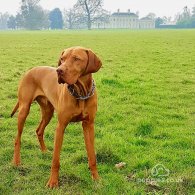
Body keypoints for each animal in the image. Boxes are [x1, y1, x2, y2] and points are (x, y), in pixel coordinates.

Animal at [11, 46, 102, 188]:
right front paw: (53, 182)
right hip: (24, 109)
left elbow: (92, 156)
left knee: (39, 130)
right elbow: (56, 160)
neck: (81, 93)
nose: (59, 70)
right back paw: (16, 161)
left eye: (76, 58)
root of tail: (30, 70)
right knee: (17, 138)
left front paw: (96, 178)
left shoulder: (89, 125)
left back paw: (44, 151)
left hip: (48, 112)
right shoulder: (61, 126)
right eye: (62, 59)